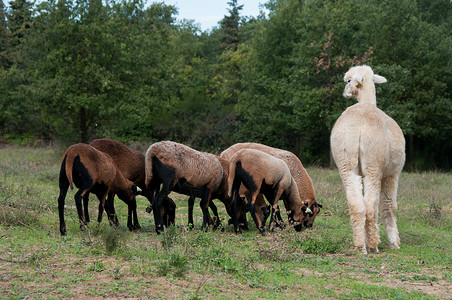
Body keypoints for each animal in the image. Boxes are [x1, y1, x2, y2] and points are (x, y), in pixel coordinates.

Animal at [328, 64, 406, 254]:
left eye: (349, 80)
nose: (345, 91)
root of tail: (355, 127)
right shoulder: (393, 173)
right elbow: (390, 205)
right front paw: (394, 242)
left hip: (344, 162)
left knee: (356, 204)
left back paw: (360, 246)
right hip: (373, 162)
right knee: (371, 205)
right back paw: (373, 244)